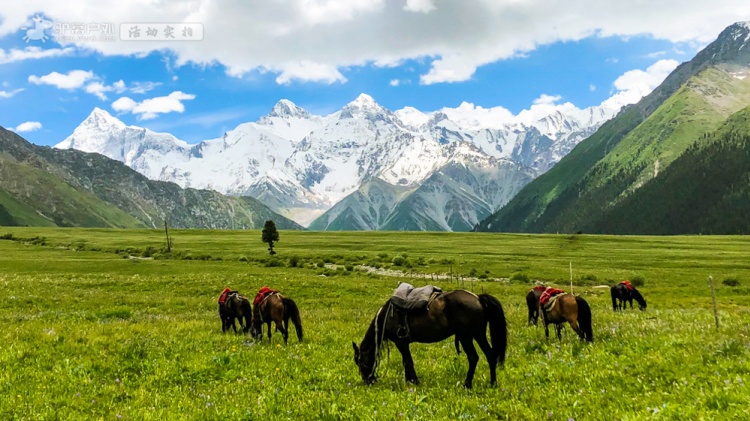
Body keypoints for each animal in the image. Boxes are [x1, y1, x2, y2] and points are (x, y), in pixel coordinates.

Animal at [354, 288, 508, 388]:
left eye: (360, 362)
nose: (368, 381)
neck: (387, 316)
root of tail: (478, 298)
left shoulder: (401, 342)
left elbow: (408, 362)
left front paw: (414, 381)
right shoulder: (403, 343)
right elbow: (406, 362)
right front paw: (409, 380)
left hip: (467, 337)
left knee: (473, 357)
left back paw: (467, 384)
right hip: (478, 335)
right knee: (490, 355)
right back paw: (493, 383)